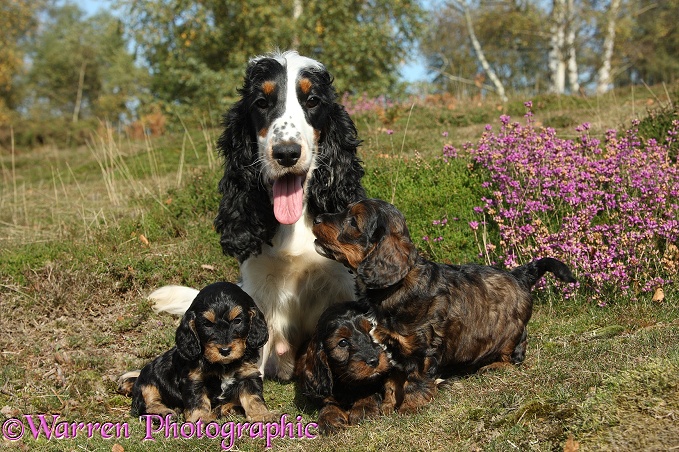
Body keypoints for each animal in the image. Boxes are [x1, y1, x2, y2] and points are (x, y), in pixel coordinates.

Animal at [117, 282, 274, 424]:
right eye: (207, 324)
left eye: (237, 321)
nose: (225, 350)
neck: (223, 365)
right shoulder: (194, 379)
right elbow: (198, 400)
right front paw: (200, 418)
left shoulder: (248, 375)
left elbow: (253, 397)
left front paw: (261, 415)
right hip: (148, 380)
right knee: (147, 404)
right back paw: (165, 412)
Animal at [294, 302, 402, 432]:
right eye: (343, 343)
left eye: (372, 332)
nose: (374, 361)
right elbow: (328, 402)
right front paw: (329, 418)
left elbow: (370, 391)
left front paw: (364, 409)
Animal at [312, 200, 572, 412]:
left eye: (353, 221)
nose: (316, 219)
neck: (395, 287)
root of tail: (519, 275)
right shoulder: (390, 346)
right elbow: (390, 381)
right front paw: (387, 406)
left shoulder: (421, 349)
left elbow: (414, 381)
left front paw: (410, 407)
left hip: (511, 332)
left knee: (515, 355)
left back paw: (495, 365)